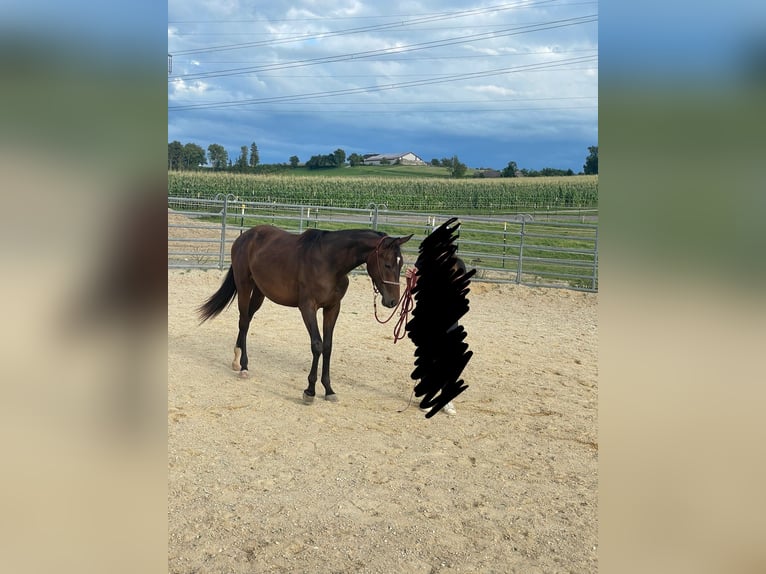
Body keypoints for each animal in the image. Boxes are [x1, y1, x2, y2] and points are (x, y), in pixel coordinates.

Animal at [198, 225, 413, 403]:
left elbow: (328, 346)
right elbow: (317, 345)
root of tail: (245, 237)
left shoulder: (332, 308)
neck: (329, 262)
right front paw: (310, 390)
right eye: (387, 264)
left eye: (401, 264)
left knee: (247, 321)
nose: (392, 301)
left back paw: (237, 360)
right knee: (243, 321)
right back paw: (243, 366)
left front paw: (329, 390)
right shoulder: (307, 307)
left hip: (260, 292)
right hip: (244, 285)